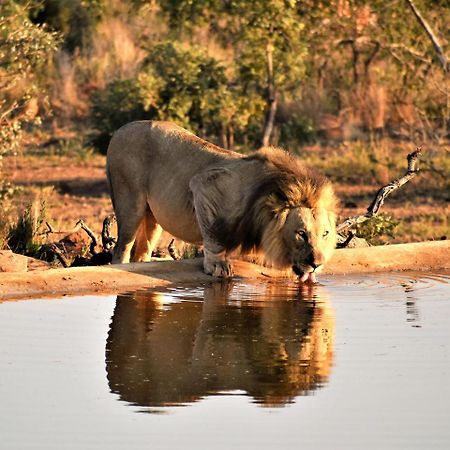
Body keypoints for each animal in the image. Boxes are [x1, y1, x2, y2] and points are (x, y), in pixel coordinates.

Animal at [106, 121, 338, 280]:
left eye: (325, 234)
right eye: (301, 234)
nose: (317, 264)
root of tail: (119, 130)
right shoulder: (204, 185)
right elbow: (214, 235)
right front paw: (218, 266)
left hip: (153, 219)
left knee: (142, 251)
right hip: (130, 204)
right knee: (120, 251)